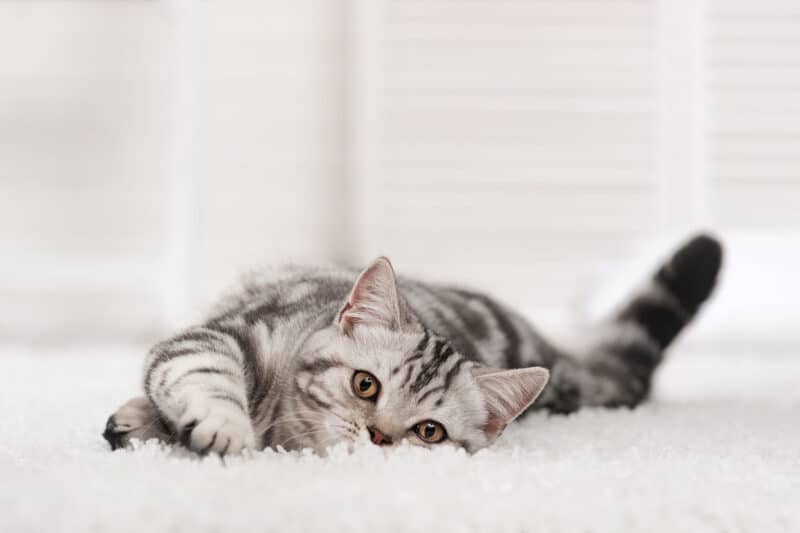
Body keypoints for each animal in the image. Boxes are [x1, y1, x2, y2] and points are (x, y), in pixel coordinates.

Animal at [103, 233, 720, 454]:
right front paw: (225, 428)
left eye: (429, 432)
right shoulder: (224, 334)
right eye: (364, 385)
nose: (379, 435)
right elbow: (204, 375)